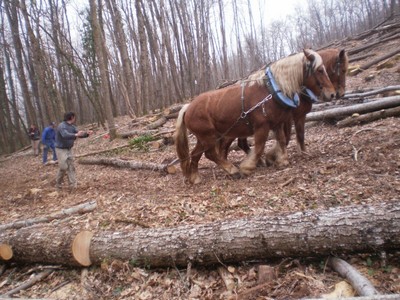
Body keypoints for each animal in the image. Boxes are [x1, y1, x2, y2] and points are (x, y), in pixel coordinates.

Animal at [174, 49, 334, 184]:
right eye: (320, 70)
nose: (332, 94)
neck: (271, 90)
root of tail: (188, 107)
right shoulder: (262, 126)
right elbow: (259, 146)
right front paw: (247, 166)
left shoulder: (277, 123)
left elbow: (281, 140)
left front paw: (282, 160)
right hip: (209, 136)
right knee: (210, 153)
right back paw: (232, 170)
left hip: (205, 137)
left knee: (196, 154)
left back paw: (195, 177)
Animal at [222, 48, 350, 163]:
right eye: (343, 70)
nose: (336, 94)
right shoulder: (288, 118)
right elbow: (287, 137)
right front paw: (273, 156)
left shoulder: (298, 116)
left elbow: (299, 135)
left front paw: (302, 152)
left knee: (241, 143)